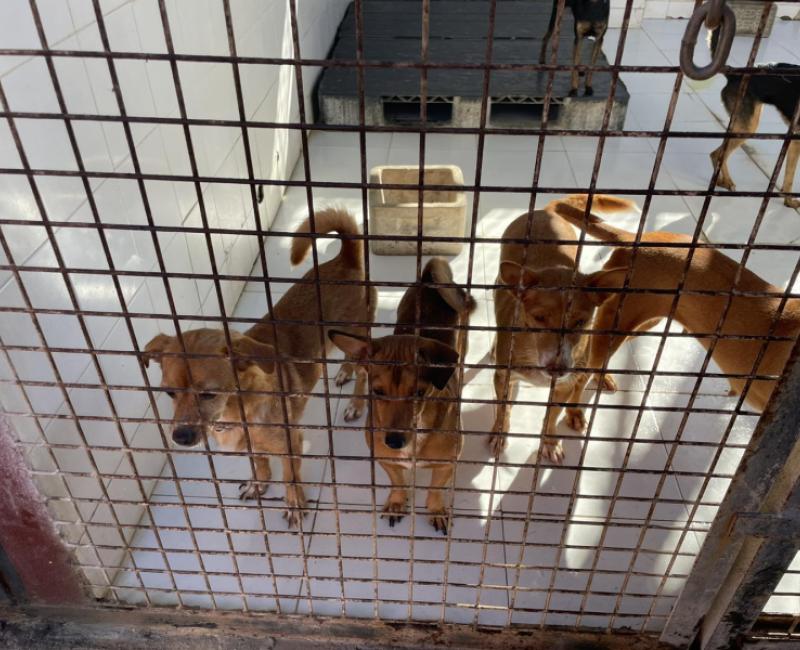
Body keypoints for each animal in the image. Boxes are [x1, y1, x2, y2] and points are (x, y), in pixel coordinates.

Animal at [143, 208, 376, 527]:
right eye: (169, 393)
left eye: (209, 394)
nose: (180, 438)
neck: (238, 409)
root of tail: (346, 260)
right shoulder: (253, 446)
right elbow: (260, 462)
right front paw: (259, 483)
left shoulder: (291, 442)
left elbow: (290, 476)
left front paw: (294, 505)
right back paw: (343, 373)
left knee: (363, 373)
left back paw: (355, 404)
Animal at [328, 258, 475, 534]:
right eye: (378, 392)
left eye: (419, 393)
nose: (394, 442)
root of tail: (429, 276)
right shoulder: (386, 460)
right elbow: (397, 481)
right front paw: (397, 502)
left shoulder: (447, 464)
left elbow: (435, 489)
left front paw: (436, 510)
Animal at [488, 196, 632, 463]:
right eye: (538, 317)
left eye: (580, 322)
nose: (558, 368)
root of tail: (543, 212)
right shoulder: (503, 376)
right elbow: (502, 408)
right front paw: (500, 433)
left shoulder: (564, 384)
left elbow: (552, 414)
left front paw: (550, 442)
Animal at [708, 26, 800, 208]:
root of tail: (736, 74)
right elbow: (791, 177)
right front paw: (789, 201)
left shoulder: (794, 140)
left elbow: (789, 175)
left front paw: (787, 200)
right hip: (747, 127)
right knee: (717, 154)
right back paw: (725, 181)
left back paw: (721, 181)